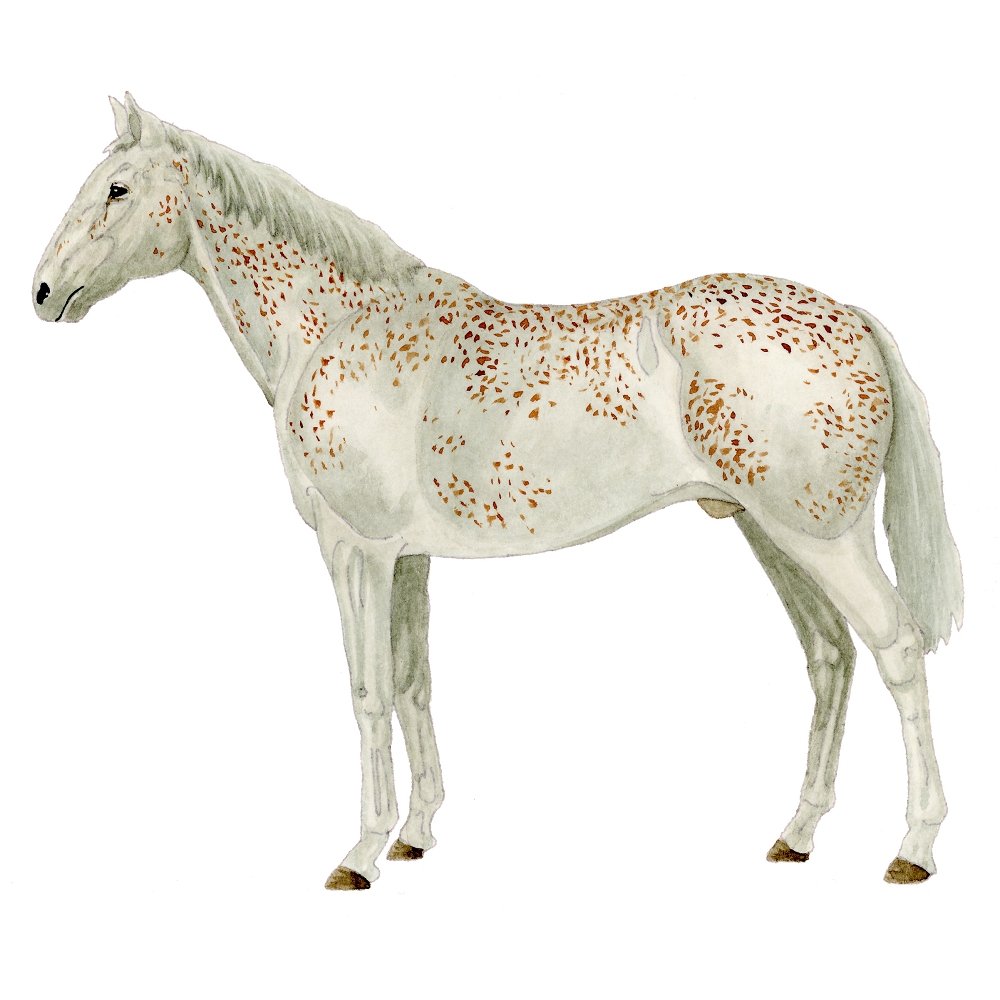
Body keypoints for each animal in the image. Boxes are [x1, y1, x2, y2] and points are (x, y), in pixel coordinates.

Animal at [33, 94, 963, 889]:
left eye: (117, 188)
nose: (42, 293)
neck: (335, 327)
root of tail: (852, 316)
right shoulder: (407, 559)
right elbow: (412, 682)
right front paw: (414, 835)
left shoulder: (355, 550)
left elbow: (366, 693)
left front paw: (361, 853)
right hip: (771, 534)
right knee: (831, 659)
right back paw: (796, 836)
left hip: (826, 537)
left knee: (898, 650)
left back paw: (913, 848)